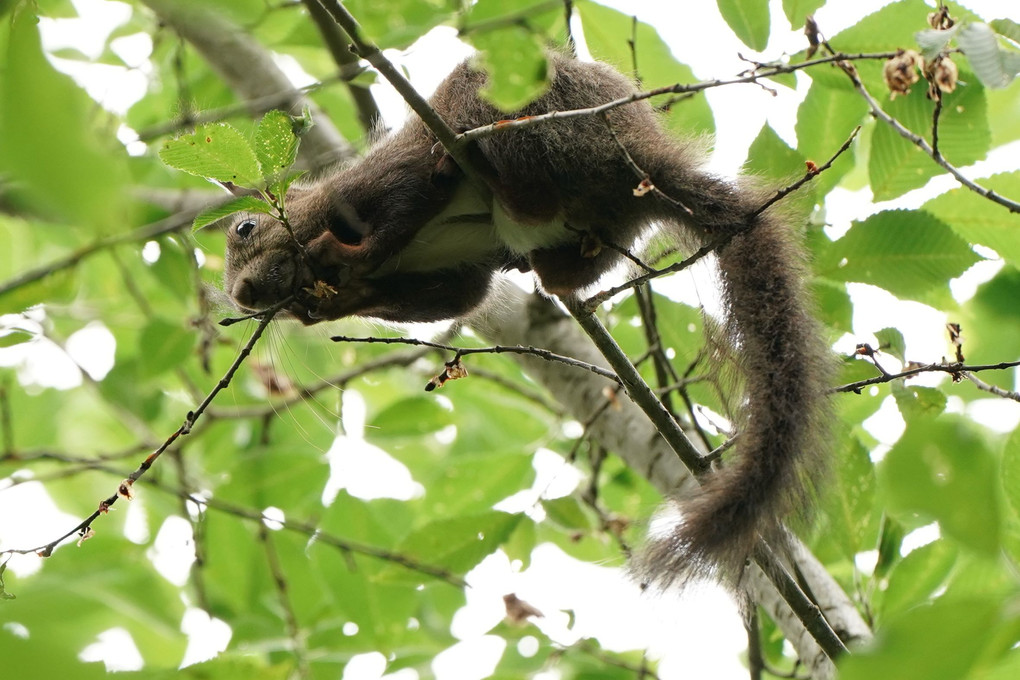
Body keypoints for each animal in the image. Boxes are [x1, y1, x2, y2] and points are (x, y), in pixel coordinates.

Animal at [221, 54, 828, 587]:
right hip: (600, 225)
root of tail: (645, 159)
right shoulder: (448, 274)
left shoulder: (379, 186)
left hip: (527, 113)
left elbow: (400, 208)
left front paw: (343, 255)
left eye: (245, 228)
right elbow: (454, 296)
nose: (243, 295)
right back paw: (544, 261)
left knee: (503, 165)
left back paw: (490, 175)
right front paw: (328, 302)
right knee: (564, 265)